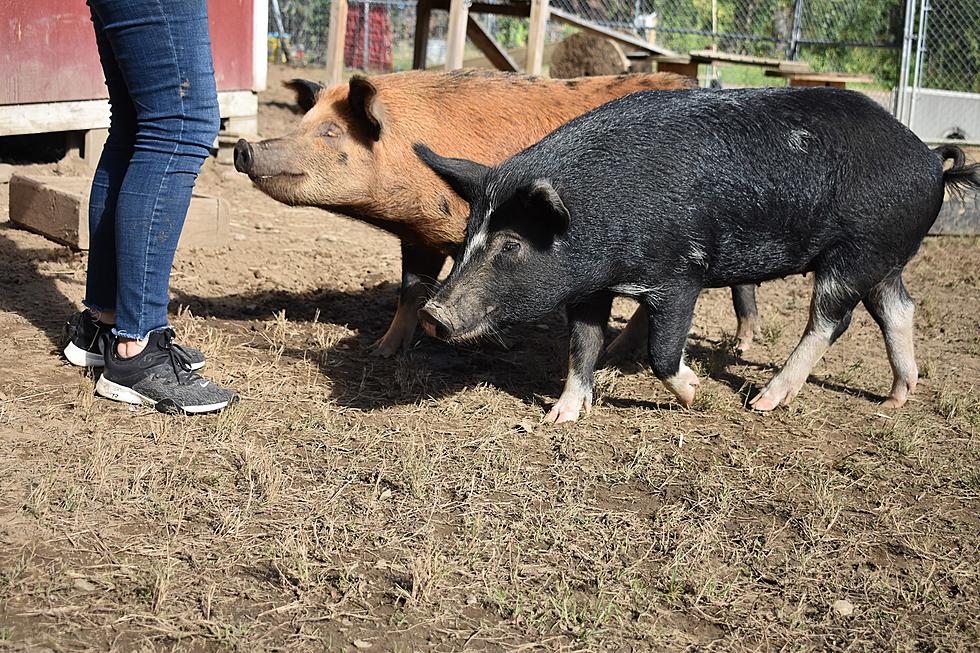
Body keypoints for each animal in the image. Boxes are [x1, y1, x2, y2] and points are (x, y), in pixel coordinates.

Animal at [235, 70, 756, 356]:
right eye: (304, 120)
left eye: (330, 133)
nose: (243, 147)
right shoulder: (419, 236)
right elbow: (410, 291)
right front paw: (382, 351)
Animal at [416, 86, 980, 422]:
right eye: (467, 235)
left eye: (512, 244)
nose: (432, 313)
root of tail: (931, 158)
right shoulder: (588, 288)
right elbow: (581, 346)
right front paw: (560, 417)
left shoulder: (678, 275)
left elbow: (662, 352)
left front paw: (699, 396)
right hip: (884, 257)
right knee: (899, 309)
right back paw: (896, 397)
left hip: (854, 254)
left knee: (830, 322)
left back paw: (762, 402)